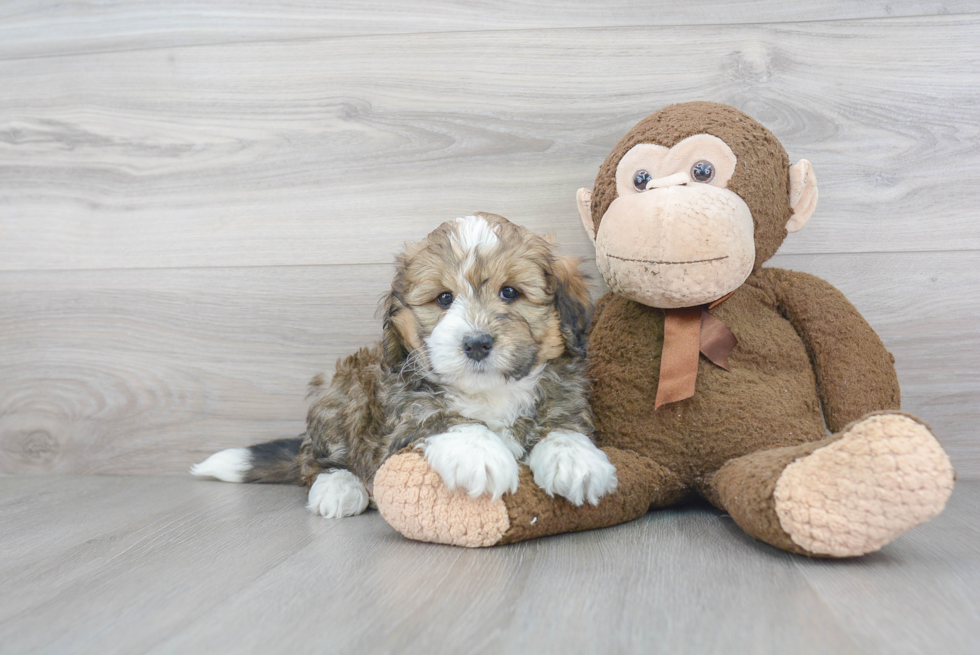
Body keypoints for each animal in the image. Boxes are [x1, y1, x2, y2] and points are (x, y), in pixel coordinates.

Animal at [192, 214, 616, 516]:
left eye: (510, 292)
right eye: (444, 299)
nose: (476, 343)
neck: (489, 392)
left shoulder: (564, 394)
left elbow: (561, 423)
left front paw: (574, 459)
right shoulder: (404, 414)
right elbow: (442, 418)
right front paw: (479, 453)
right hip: (342, 392)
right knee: (315, 461)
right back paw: (339, 488)